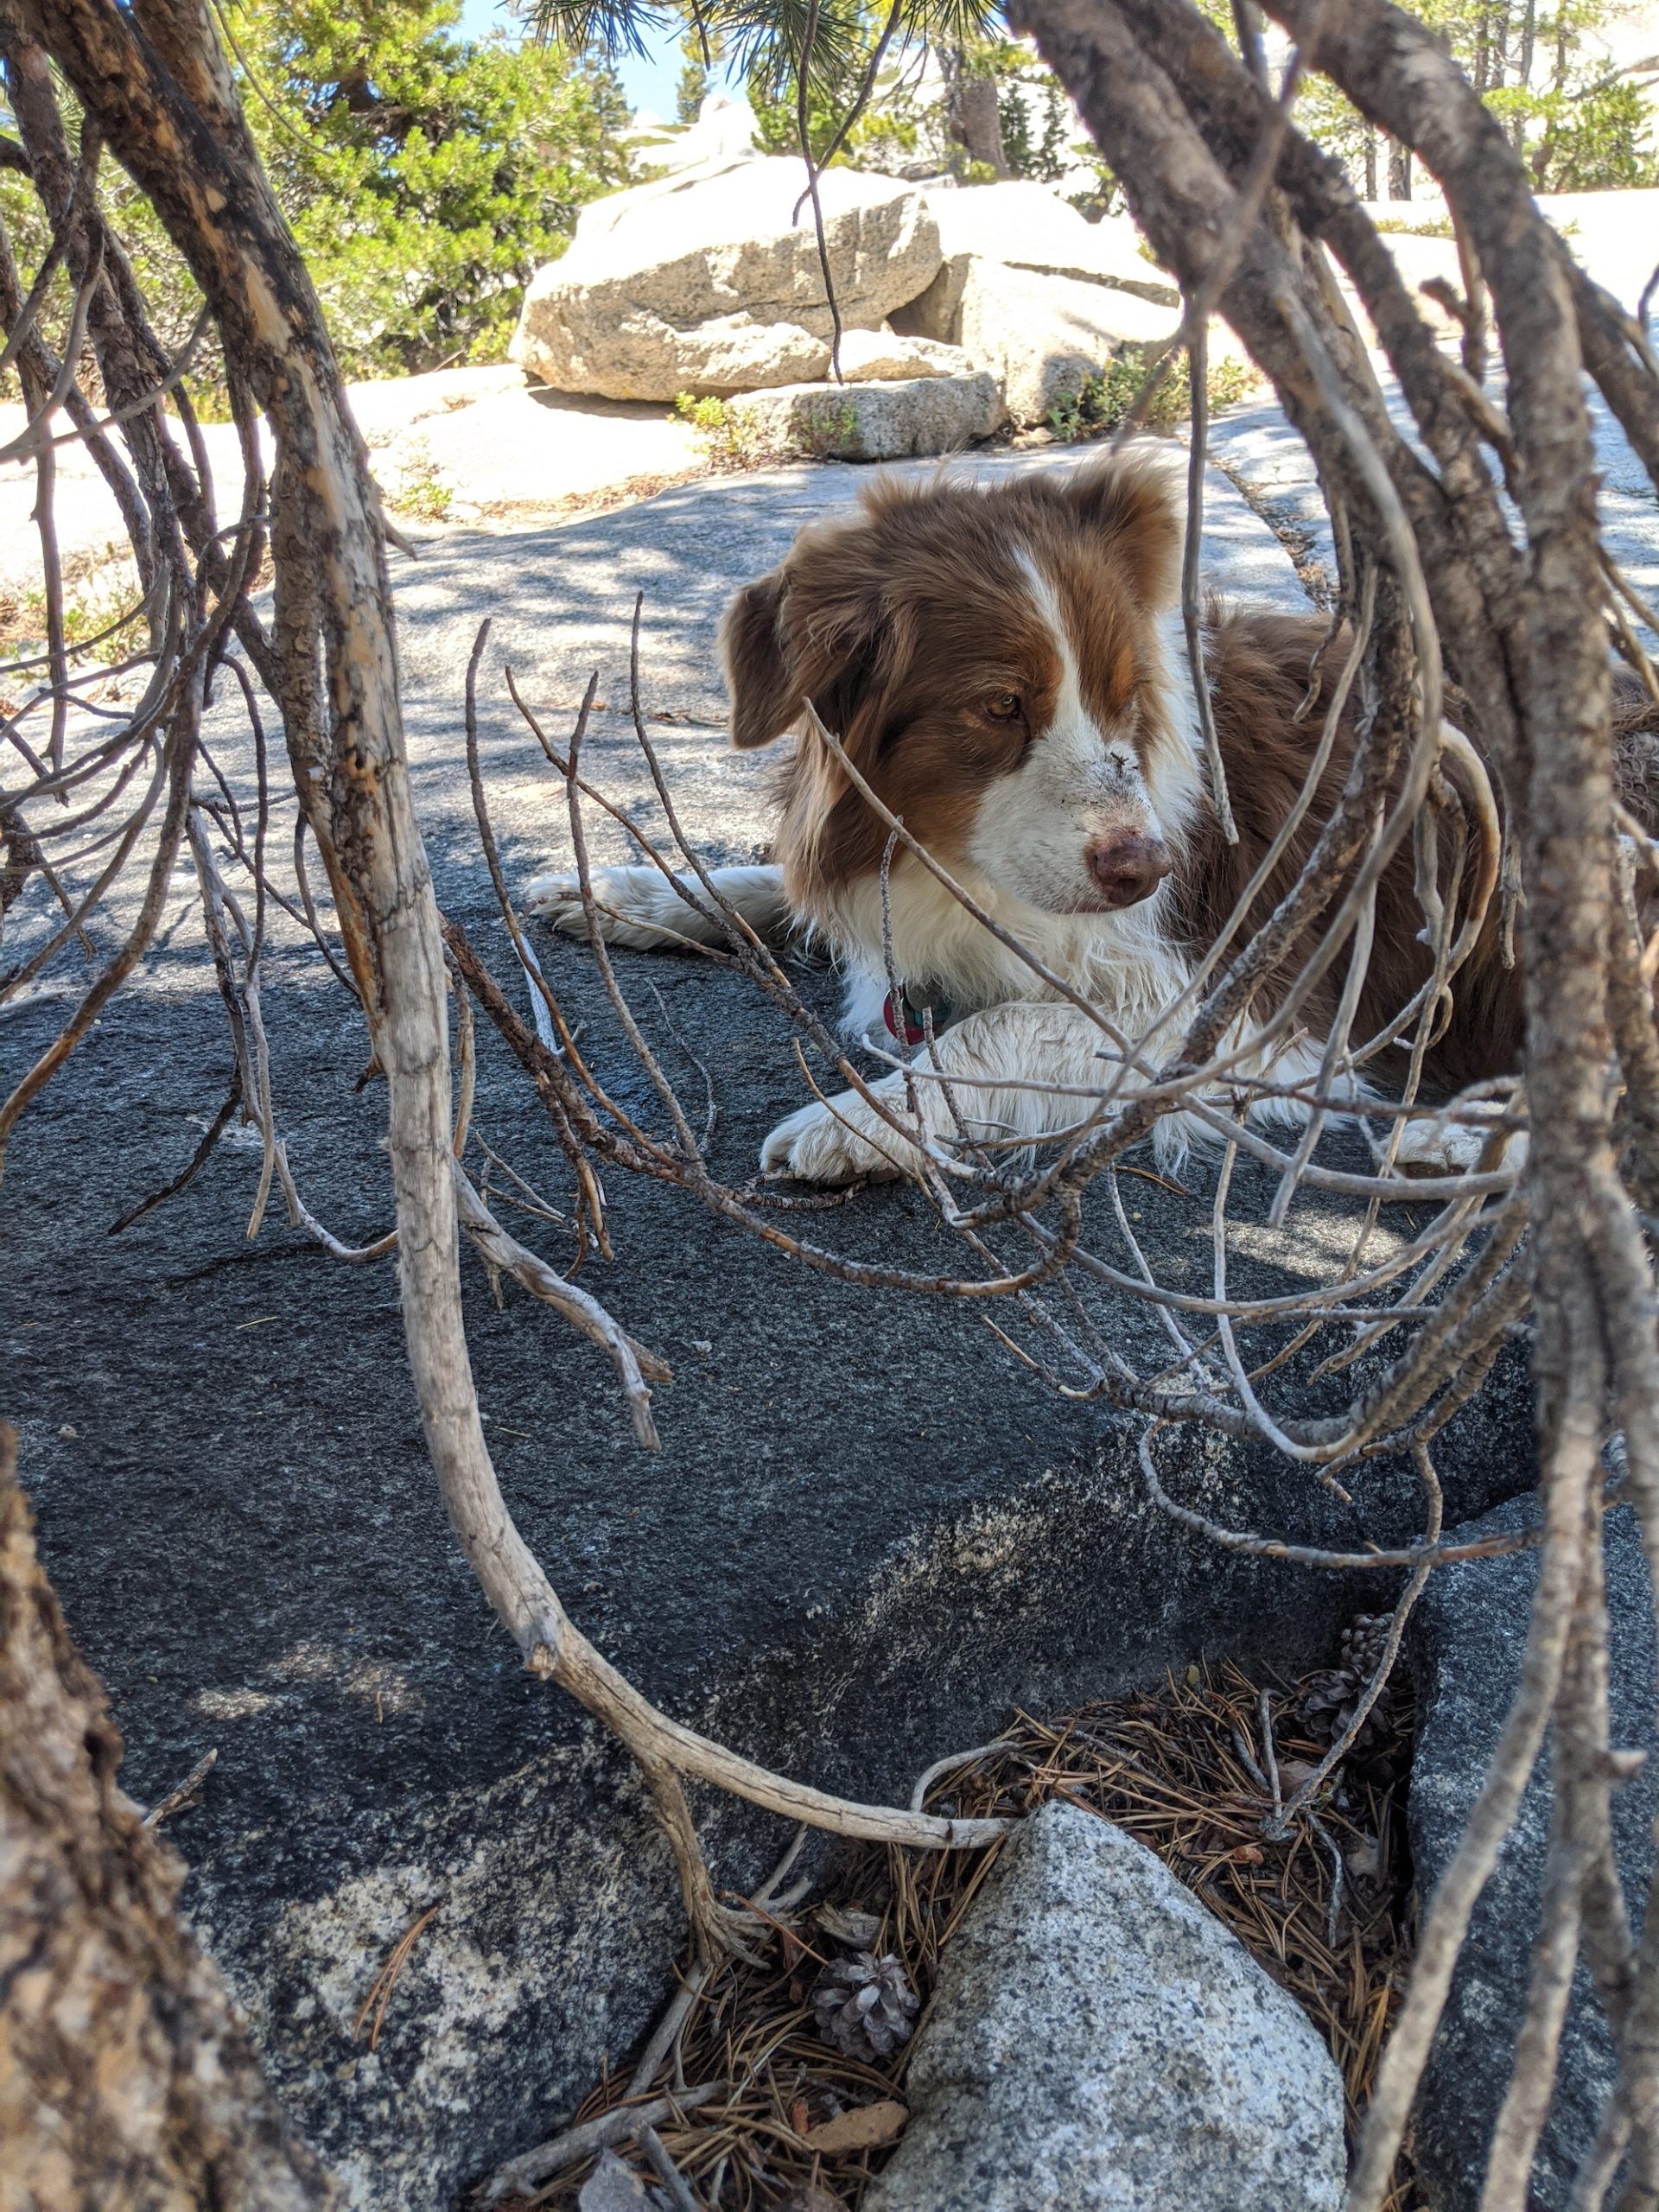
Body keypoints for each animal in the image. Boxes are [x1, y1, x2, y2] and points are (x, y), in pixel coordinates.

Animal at [528, 444, 1610, 1176]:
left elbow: (997, 1029)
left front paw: (855, 1119)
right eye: (1003, 705)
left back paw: (1460, 1134)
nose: (1146, 868)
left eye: (1123, 693)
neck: (950, 857)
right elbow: (768, 885)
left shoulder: (1241, 999)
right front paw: (623, 890)